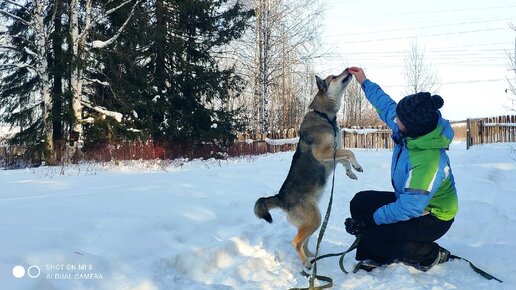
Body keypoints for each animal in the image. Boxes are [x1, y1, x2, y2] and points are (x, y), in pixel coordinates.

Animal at [254, 68, 362, 268]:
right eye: (334, 77)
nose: (347, 69)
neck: (324, 116)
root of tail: (282, 198)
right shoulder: (324, 153)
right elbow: (349, 153)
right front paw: (357, 167)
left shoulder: (333, 154)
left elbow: (345, 159)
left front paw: (351, 173)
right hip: (315, 219)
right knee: (296, 242)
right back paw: (306, 263)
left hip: (313, 220)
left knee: (305, 241)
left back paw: (312, 256)